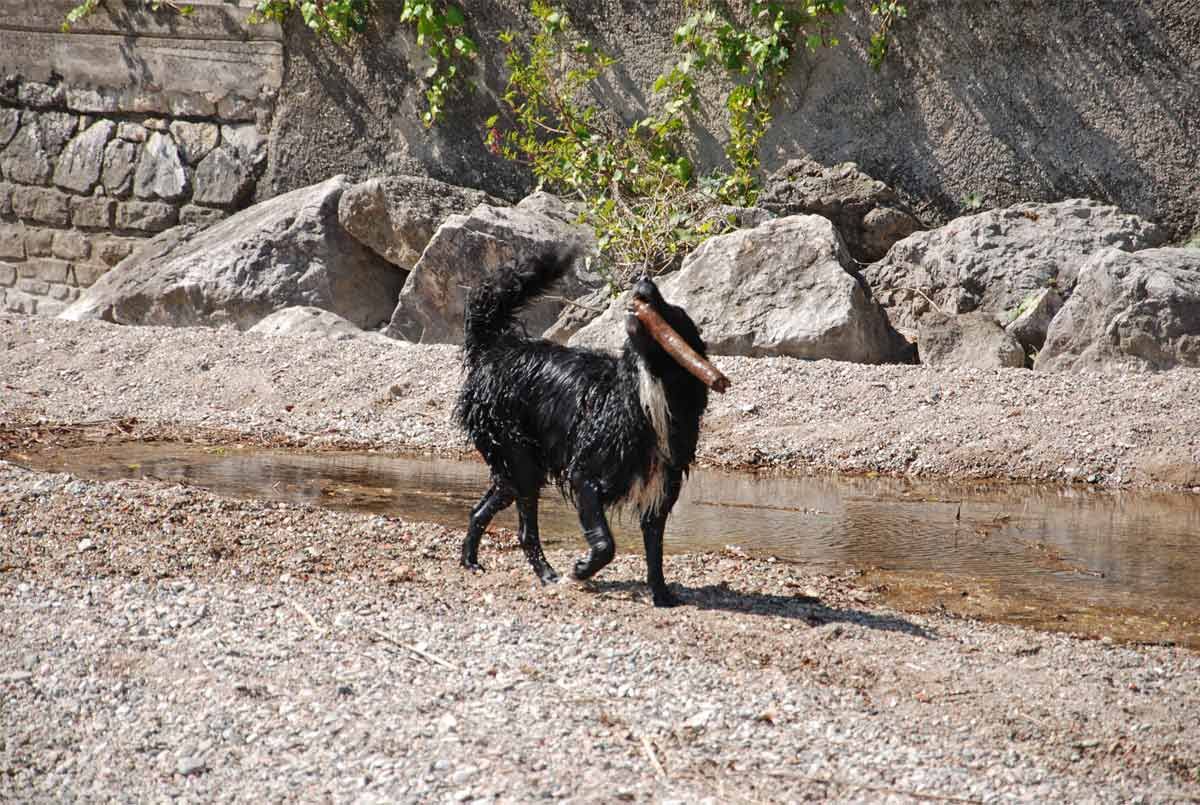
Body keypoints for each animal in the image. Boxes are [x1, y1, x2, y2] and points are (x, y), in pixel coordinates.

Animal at [451, 250, 710, 604]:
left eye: (672, 310)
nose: (644, 280)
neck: (645, 394)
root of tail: (497, 349)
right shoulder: (584, 476)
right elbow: (605, 544)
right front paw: (581, 570)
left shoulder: (659, 493)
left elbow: (654, 552)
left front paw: (661, 595)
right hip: (519, 457)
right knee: (525, 531)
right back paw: (547, 575)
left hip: (513, 470)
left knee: (480, 511)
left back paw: (471, 561)